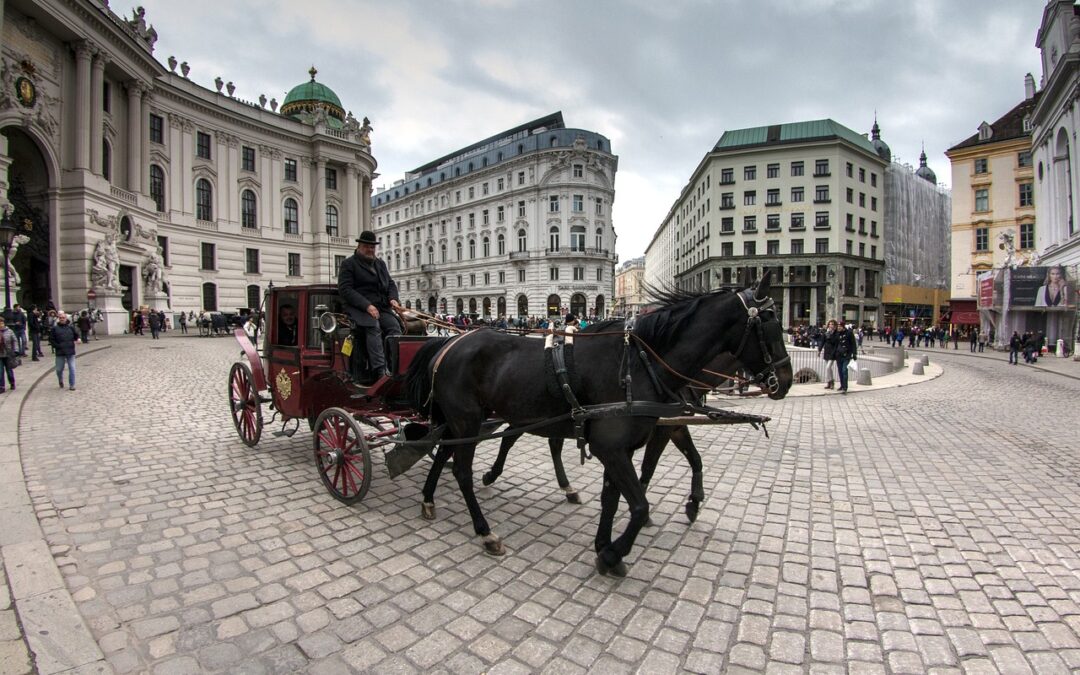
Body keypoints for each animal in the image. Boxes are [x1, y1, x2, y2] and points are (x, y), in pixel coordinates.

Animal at [406, 274, 794, 574]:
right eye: (771, 321)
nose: (787, 380)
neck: (638, 364)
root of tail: (449, 343)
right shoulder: (615, 447)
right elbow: (638, 504)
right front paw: (614, 552)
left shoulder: (622, 447)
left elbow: (614, 497)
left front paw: (604, 544)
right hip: (468, 420)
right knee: (462, 471)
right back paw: (485, 530)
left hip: (462, 421)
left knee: (445, 452)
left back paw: (428, 498)